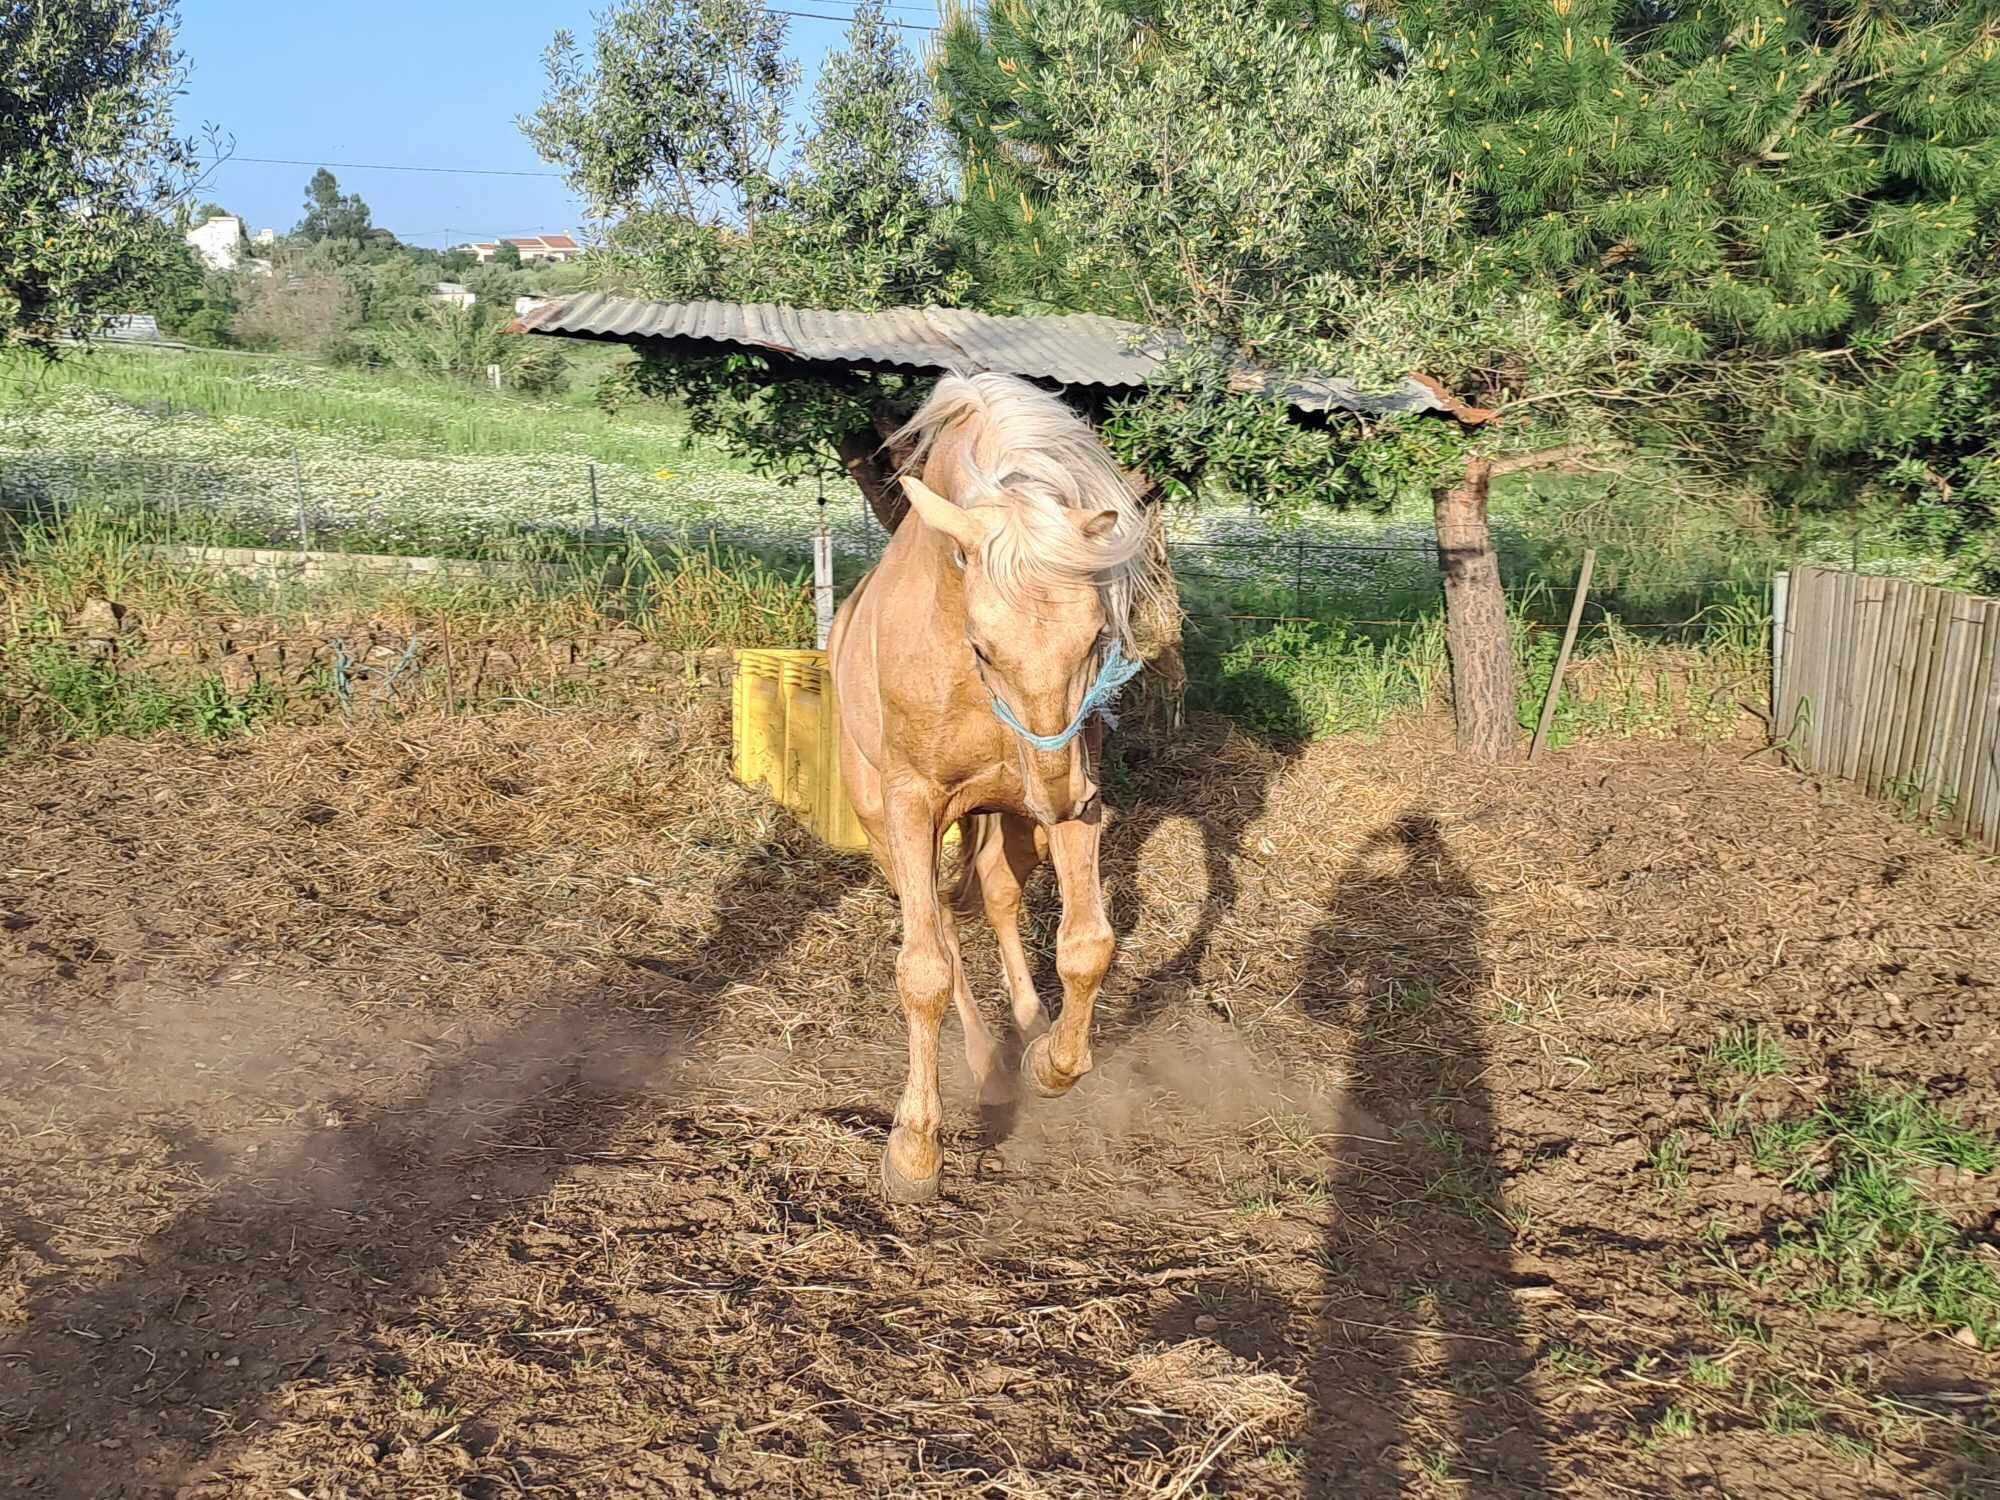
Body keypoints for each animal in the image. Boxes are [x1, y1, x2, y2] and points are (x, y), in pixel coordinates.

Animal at [824, 376, 1168, 1208]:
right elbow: (923, 972)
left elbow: (1087, 945)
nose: (1059, 794)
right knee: (945, 930)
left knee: (1000, 898)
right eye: (981, 647)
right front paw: (914, 1149)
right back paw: (984, 1062)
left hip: (1009, 821)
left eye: (1098, 640)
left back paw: (1028, 1029)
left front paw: (1053, 1061)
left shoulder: (1074, 803)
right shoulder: (913, 806)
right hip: (890, 825)